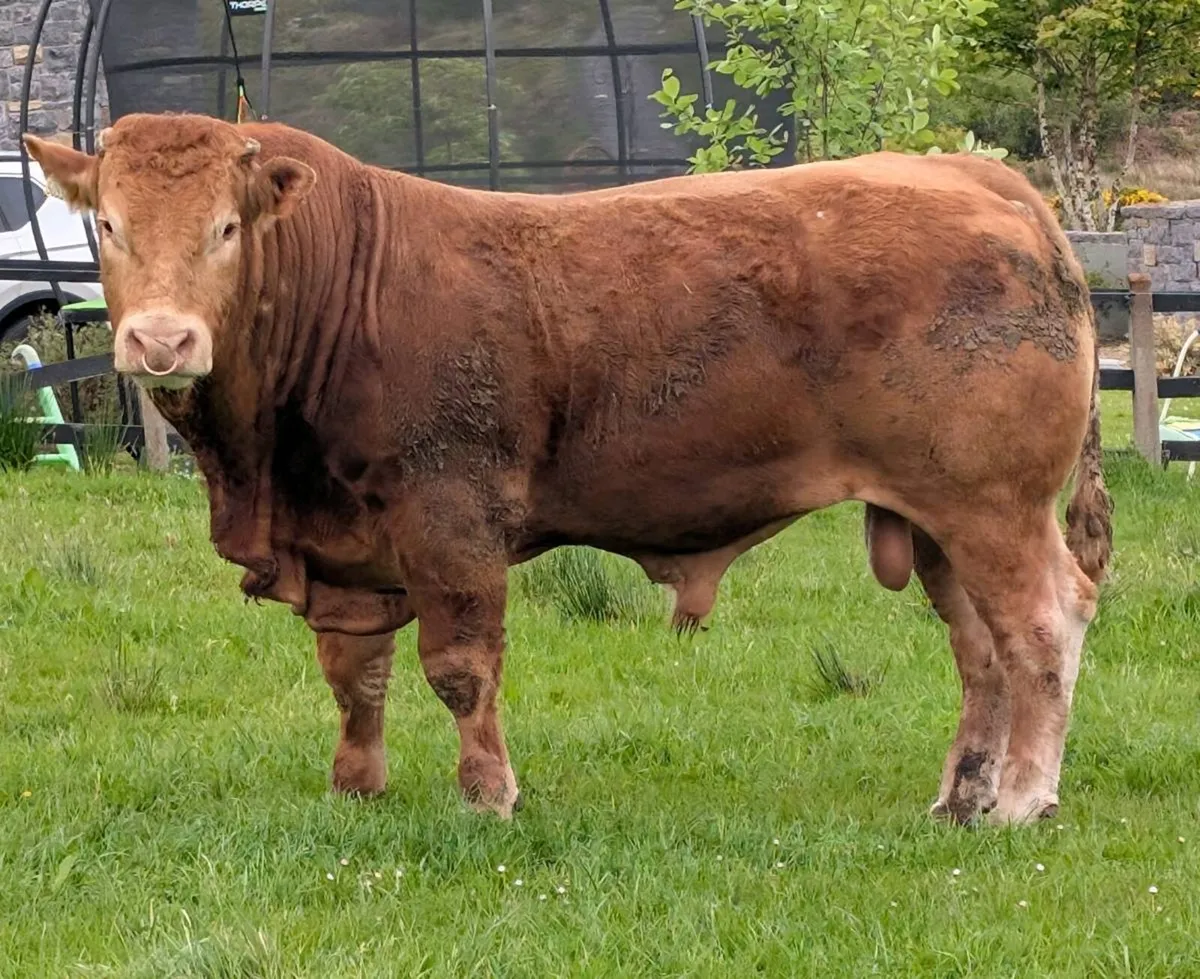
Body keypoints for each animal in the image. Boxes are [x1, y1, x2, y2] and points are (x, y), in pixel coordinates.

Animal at [24, 113, 1112, 826]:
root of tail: (979, 180)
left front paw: (486, 797)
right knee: (981, 650)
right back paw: (963, 793)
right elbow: (354, 672)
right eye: (109, 225)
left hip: (994, 507)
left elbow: (459, 668)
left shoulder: (450, 521)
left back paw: (1024, 797)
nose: (161, 340)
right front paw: (356, 786)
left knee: (1042, 627)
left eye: (226, 228)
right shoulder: (344, 544)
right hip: (937, 520)